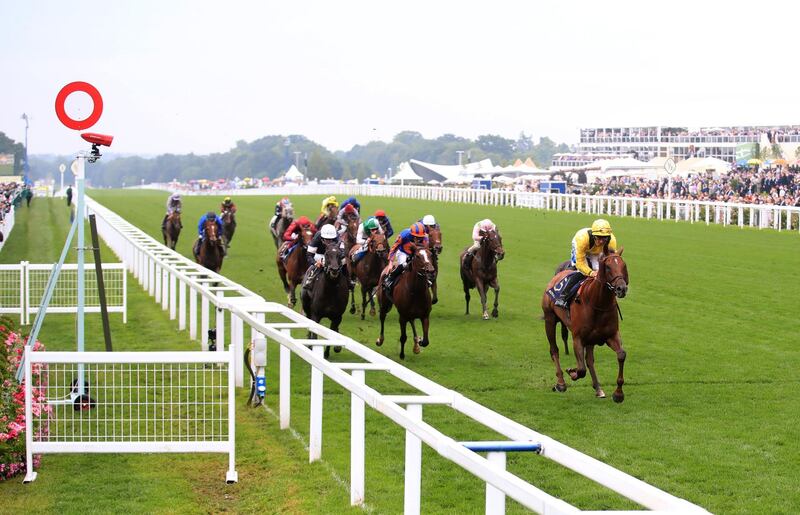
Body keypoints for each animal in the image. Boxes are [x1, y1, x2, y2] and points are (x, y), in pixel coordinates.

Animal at [544, 249, 632, 404]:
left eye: (624, 265)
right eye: (607, 267)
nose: (621, 288)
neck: (597, 302)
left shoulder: (611, 335)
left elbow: (621, 355)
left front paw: (618, 394)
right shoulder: (578, 338)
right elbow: (581, 370)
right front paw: (571, 373)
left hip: (591, 339)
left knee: (589, 360)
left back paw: (598, 388)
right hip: (549, 319)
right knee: (554, 350)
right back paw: (560, 383)